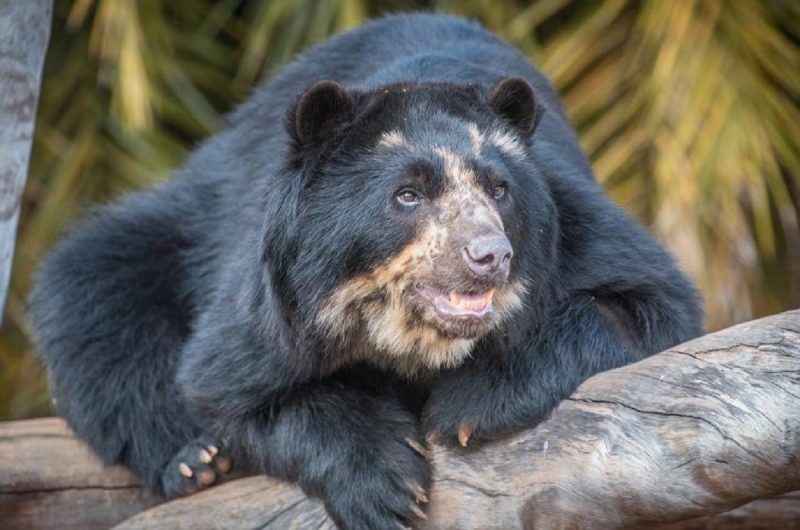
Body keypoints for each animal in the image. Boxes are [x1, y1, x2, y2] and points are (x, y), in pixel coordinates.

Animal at [26, 12, 700, 528]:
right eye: (407, 195)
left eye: (499, 189)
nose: (490, 256)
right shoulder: (267, 295)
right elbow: (233, 386)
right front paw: (387, 484)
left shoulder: (576, 225)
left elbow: (644, 304)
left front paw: (469, 405)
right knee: (95, 298)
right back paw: (198, 463)